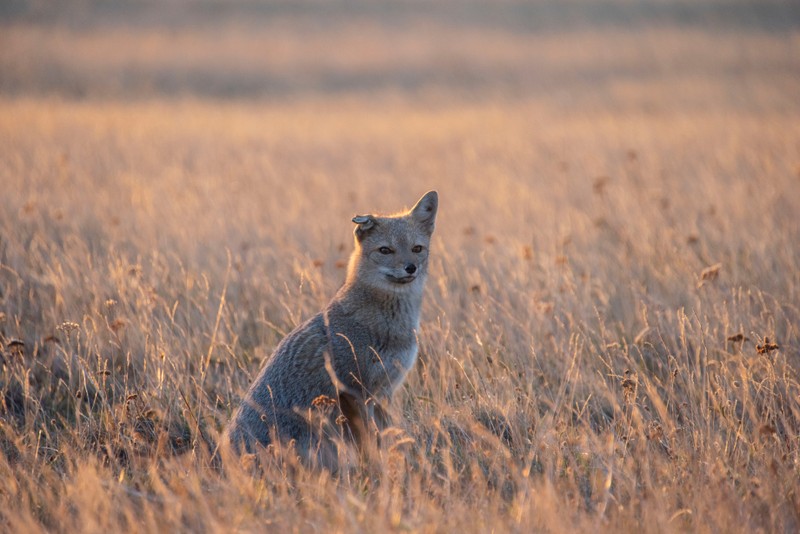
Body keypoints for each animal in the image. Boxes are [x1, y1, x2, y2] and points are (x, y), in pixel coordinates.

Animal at [223, 191, 438, 466]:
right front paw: (376, 467)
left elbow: (387, 436)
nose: (411, 267)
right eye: (385, 250)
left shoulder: (385, 391)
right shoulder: (356, 391)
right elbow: (371, 443)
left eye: (417, 249)